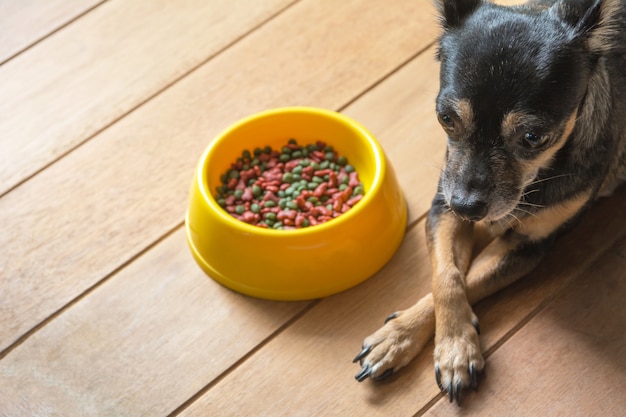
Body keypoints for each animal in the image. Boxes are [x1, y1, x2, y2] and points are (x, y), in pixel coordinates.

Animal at [354, 0, 620, 404]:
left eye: (533, 137)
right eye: (445, 118)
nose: (467, 205)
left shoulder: (528, 244)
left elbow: (471, 279)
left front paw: (452, 350)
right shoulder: (444, 206)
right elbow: (448, 277)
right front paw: (407, 338)